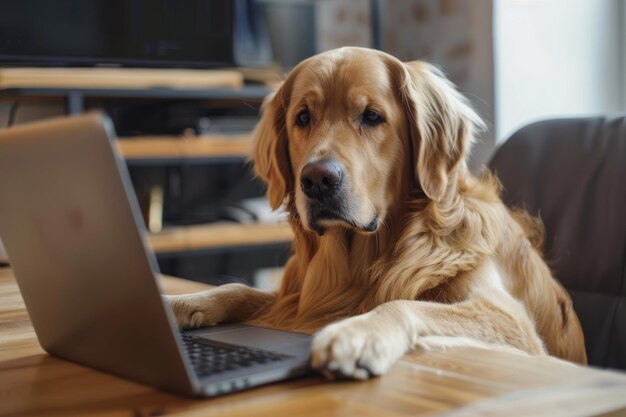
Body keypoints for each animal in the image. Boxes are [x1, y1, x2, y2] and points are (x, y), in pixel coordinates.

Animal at [166, 47, 584, 378]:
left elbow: (401, 303)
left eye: (371, 116)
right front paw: (180, 303)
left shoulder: (507, 317)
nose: (317, 180)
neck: (364, 257)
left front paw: (355, 333)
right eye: (303, 117)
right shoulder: (300, 297)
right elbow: (240, 288)